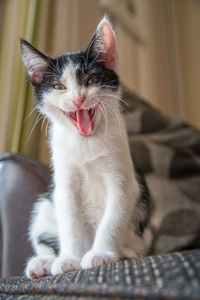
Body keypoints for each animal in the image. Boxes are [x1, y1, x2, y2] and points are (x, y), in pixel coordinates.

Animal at [20, 15, 152, 278]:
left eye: (91, 80)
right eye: (59, 87)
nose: (78, 99)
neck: (85, 141)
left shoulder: (124, 180)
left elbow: (114, 217)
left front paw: (101, 254)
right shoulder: (64, 183)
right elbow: (69, 222)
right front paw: (69, 259)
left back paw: (124, 252)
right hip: (44, 206)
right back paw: (44, 262)